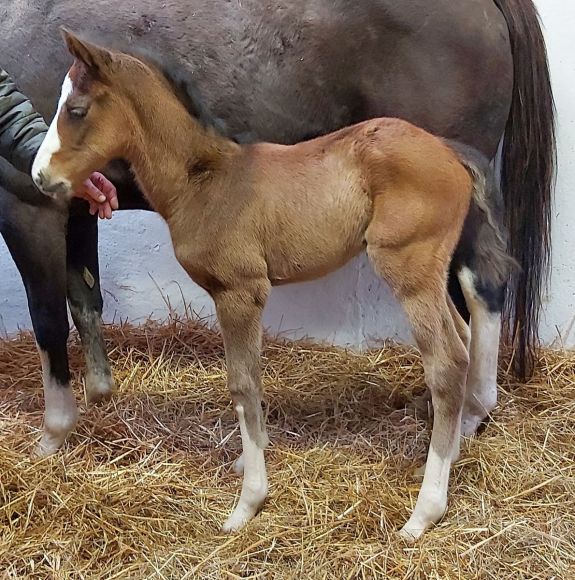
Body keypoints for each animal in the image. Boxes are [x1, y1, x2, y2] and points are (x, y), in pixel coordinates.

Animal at [1, 0, 560, 450]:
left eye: (76, 110)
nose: (40, 171)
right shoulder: (77, 204)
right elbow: (85, 298)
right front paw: (100, 395)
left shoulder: (28, 206)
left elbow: (48, 317)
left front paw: (54, 431)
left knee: (482, 284)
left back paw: (469, 412)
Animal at [31, 31, 510, 540]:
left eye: (77, 109)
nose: (41, 176)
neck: (204, 181)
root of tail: (450, 152)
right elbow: (254, 382)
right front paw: (249, 460)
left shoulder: (239, 291)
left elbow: (242, 384)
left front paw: (248, 503)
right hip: (430, 273)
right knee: (463, 337)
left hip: (408, 267)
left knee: (447, 362)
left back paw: (425, 511)